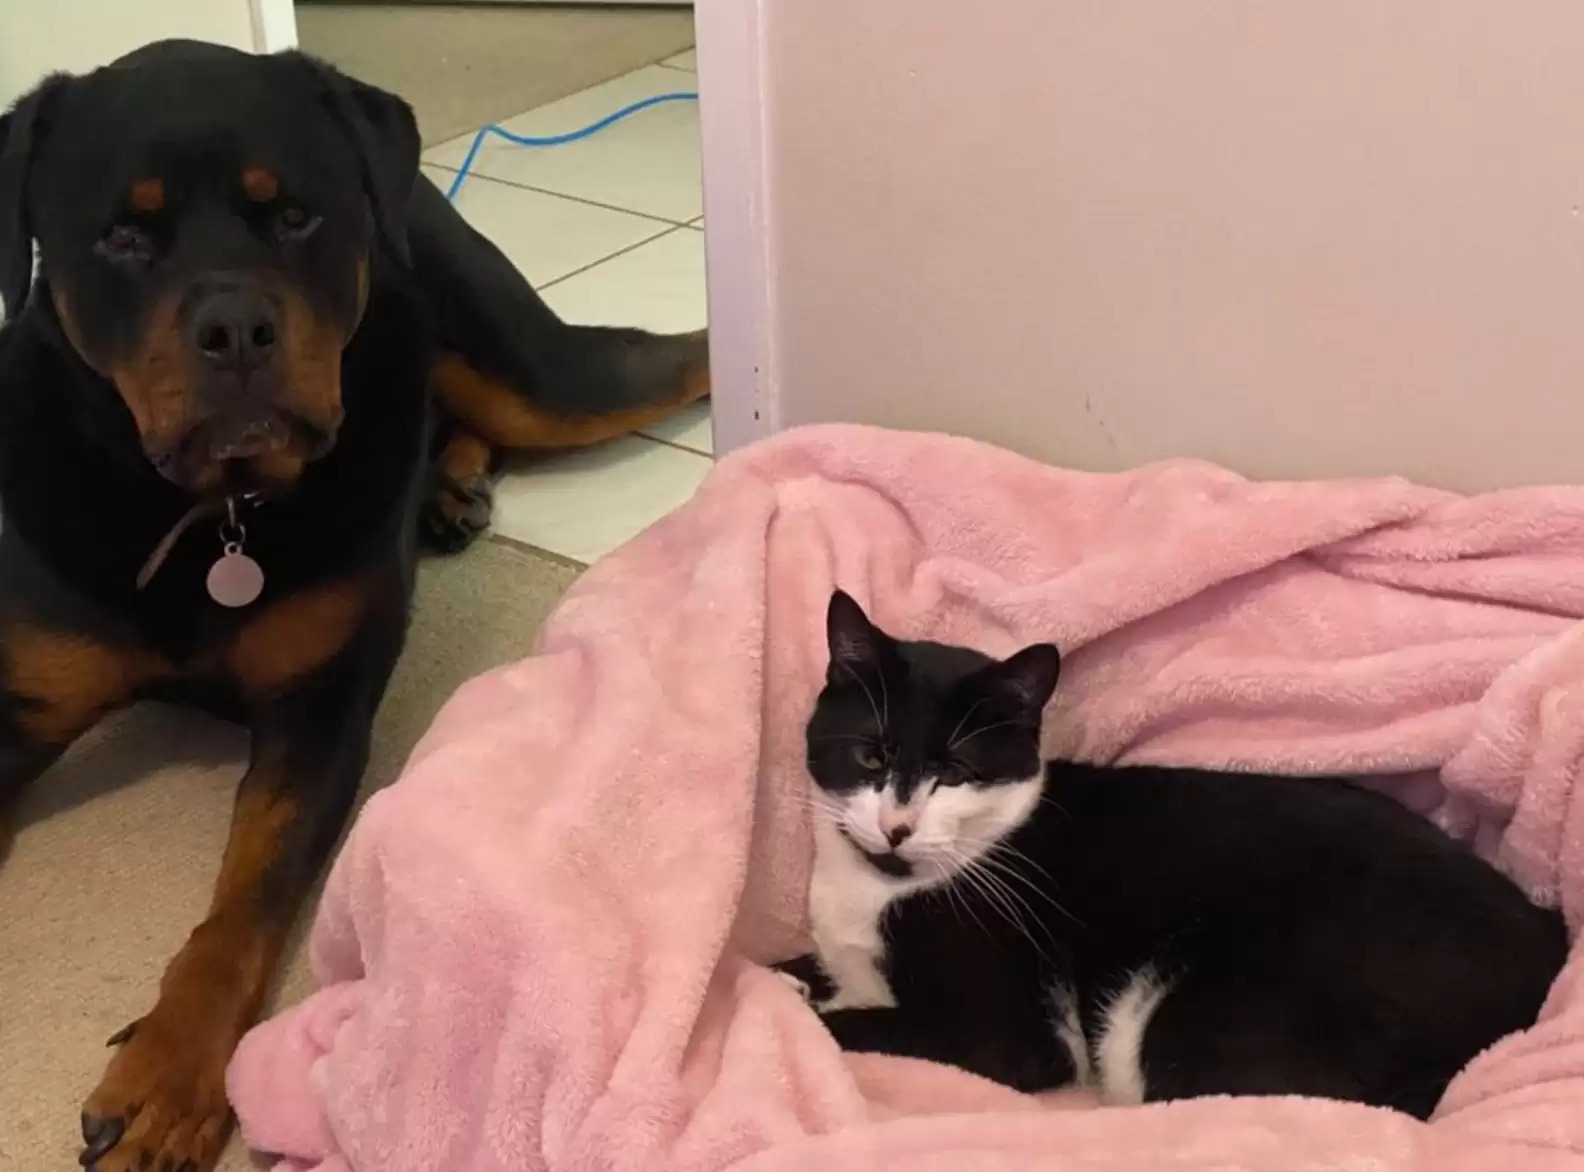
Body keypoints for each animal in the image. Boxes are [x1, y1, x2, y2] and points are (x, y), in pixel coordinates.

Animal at [0, 36, 709, 1172]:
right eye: (121, 235)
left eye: (293, 216)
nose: (236, 327)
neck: (211, 513)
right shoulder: (19, 697)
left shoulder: (319, 706)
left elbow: (244, 902)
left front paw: (167, 1075)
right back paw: (449, 489)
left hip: (541, 375)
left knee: (673, 355)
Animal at [785, 589, 1564, 1121]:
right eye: (871, 755)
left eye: (955, 772)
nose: (897, 826)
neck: (882, 888)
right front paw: (791, 976)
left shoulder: (1011, 1026)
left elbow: (866, 1022)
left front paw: (817, 1009)